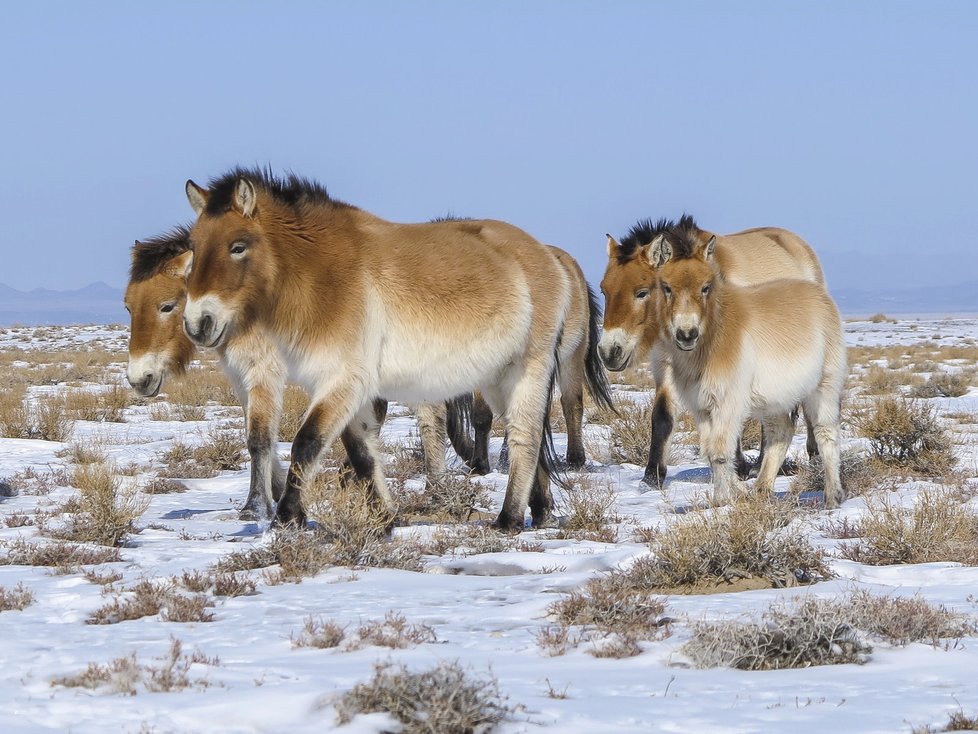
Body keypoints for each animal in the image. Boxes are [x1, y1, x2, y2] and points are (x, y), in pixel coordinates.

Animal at [182, 170, 576, 532]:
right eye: (194, 246)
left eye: (238, 246)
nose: (197, 322)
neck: (325, 276)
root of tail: (545, 255)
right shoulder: (342, 388)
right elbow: (362, 454)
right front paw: (385, 518)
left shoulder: (344, 380)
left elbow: (307, 443)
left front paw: (287, 518)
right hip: (497, 380)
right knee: (526, 437)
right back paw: (540, 512)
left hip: (527, 370)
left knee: (525, 437)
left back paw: (509, 519)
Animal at [600, 216, 820, 486]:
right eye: (604, 291)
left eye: (642, 292)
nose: (609, 352)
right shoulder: (665, 364)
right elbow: (662, 415)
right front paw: (652, 477)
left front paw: (737, 468)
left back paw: (810, 458)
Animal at [644, 227, 844, 508]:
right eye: (666, 288)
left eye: (706, 287)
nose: (687, 334)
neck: (714, 337)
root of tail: (819, 294)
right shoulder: (702, 408)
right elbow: (710, 451)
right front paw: (730, 495)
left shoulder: (728, 404)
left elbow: (719, 451)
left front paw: (723, 501)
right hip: (774, 401)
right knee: (781, 432)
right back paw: (761, 491)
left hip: (824, 387)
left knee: (826, 432)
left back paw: (832, 496)